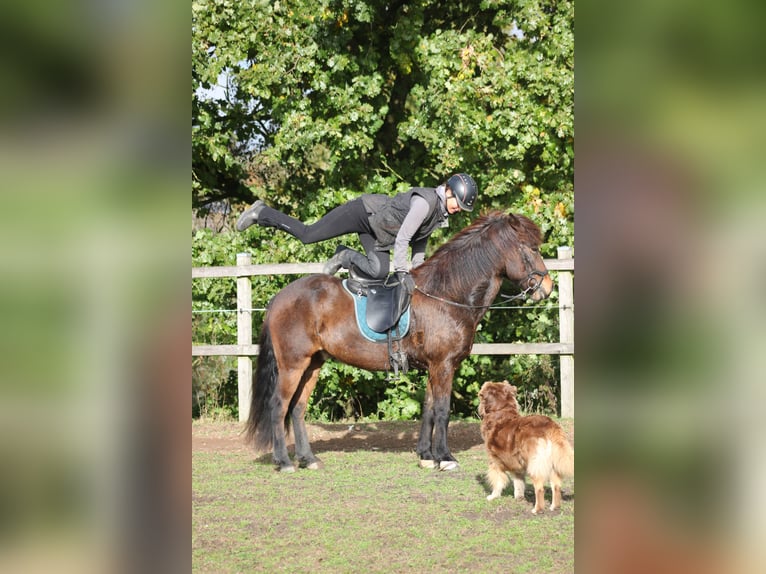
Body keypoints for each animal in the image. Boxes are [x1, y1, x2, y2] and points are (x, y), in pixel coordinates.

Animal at [480, 384, 576, 516]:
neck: (501, 411)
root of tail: (550, 427)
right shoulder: (517, 466)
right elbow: (519, 482)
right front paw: (519, 497)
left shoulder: (494, 462)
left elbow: (497, 481)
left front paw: (493, 496)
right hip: (552, 464)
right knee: (556, 485)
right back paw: (554, 506)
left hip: (534, 463)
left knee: (539, 488)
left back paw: (537, 509)